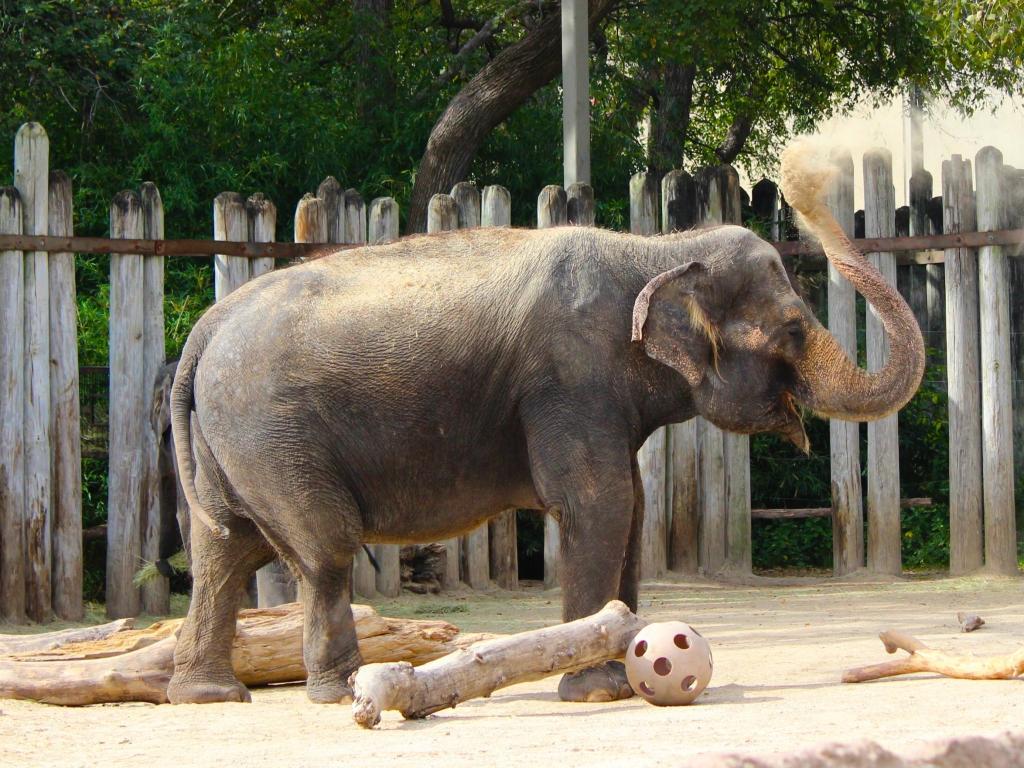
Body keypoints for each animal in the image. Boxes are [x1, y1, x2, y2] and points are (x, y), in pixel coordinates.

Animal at [165, 143, 921, 704]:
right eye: (792, 330)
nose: (806, 179)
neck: (656, 249)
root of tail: (205, 329)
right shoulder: (570, 377)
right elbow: (598, 503)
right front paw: (597, 689)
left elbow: (631, 508)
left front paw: (620, 672)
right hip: (271, 431)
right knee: (322, 549)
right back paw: (342, 689)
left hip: (232, 442)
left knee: (223, 549)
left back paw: (208, 694)